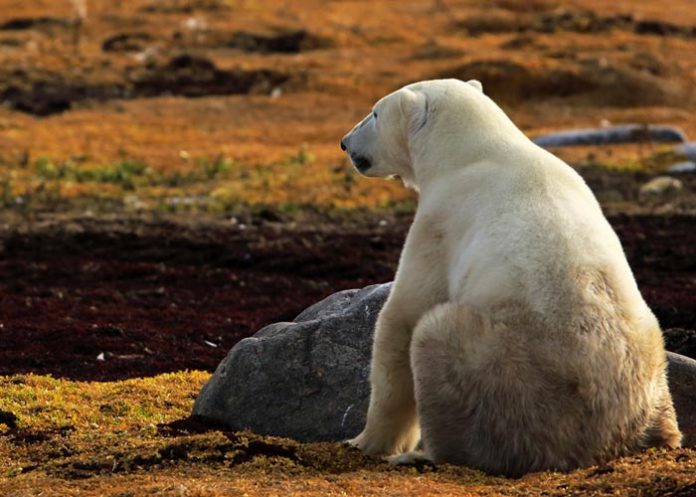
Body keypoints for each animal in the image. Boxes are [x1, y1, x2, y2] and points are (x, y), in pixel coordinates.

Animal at [339, 79, 681, 477]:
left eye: (375, 113)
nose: (345, 142)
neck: (475, 150)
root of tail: (601, 434)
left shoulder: (441, 222)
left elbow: (403, 316)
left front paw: (366, 441)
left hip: (501, 374)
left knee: (435, 337)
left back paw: (426, 454)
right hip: (650, 356)